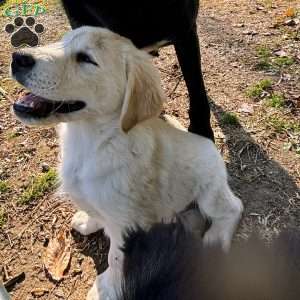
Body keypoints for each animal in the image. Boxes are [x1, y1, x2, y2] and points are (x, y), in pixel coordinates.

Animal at [10, 27, 243, 298]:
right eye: (62, 41)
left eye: (86, 59)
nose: (18, 58)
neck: (92, 141)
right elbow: (95, 213)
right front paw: (87, 221)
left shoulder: (126, 224)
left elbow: (116, 260)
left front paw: (105, 288)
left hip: (209, 193)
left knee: (233, 208)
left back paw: (215, 240)